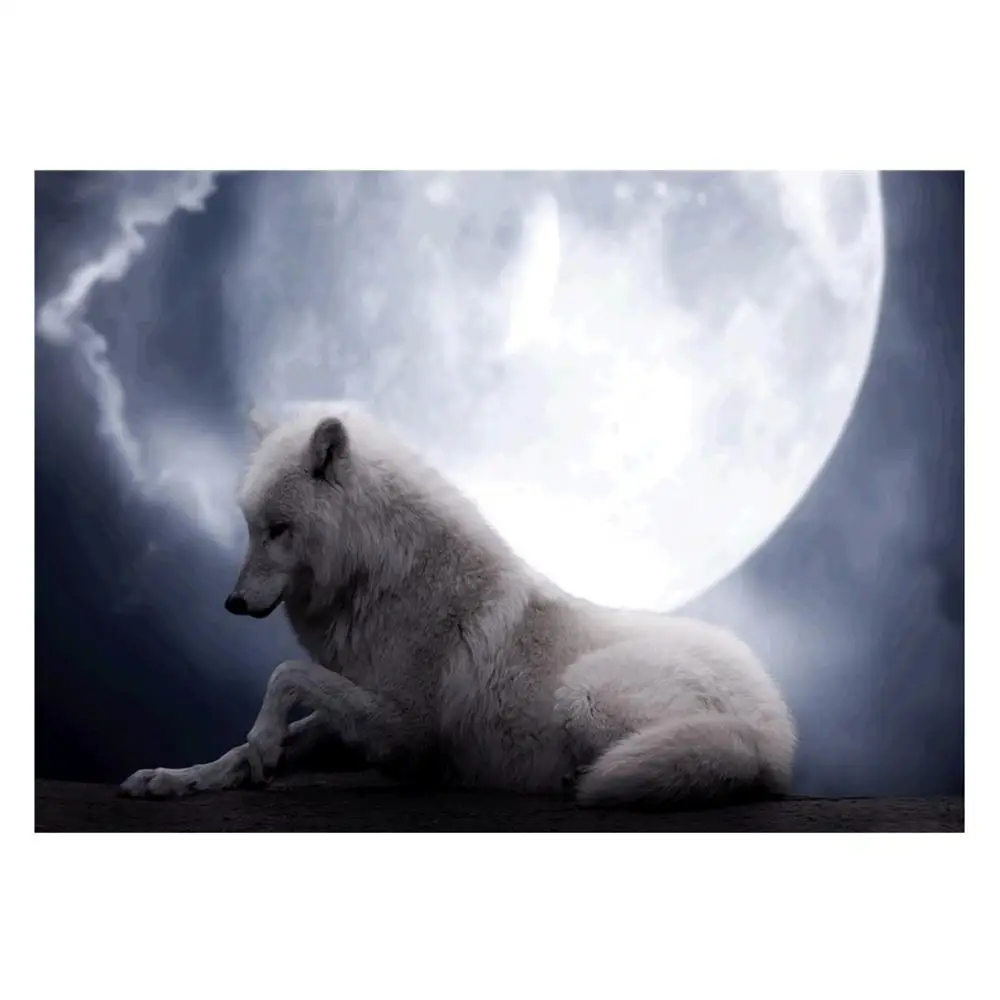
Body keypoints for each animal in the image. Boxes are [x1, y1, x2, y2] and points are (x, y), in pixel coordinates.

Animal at [121, 402, 796, 808]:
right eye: (249, 527)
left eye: (278, 529)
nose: (232, 603)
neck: (381, 575)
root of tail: (775, 730)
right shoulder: (358, 704)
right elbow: (253, 740)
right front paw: (179, 778)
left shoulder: (406, 729)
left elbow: (285, 675)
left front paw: (261, 743)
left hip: (583, 695)